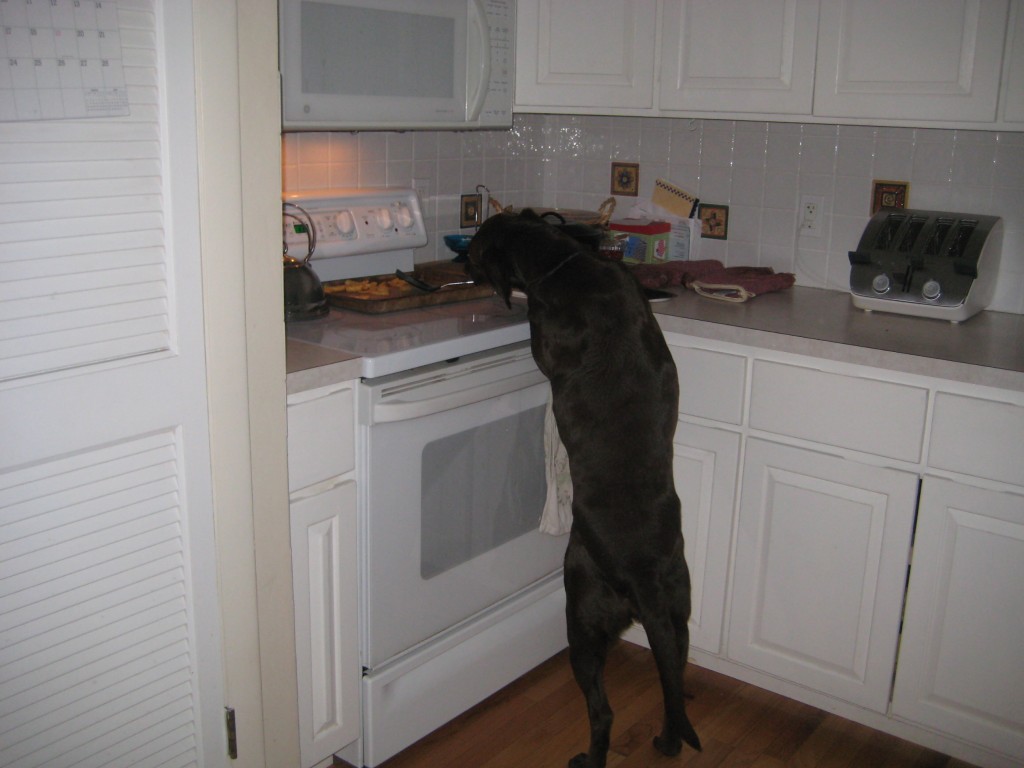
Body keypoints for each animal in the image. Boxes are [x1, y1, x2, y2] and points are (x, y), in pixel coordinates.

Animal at [468, 210, 704, 768]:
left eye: (476, 244)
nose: (460, 259)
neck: (565, 260)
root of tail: (642, 574)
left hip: (581, 619)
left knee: (603, 711)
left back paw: (590, 758)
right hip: (679, 615)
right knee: (672, 687)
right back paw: (666, 742)